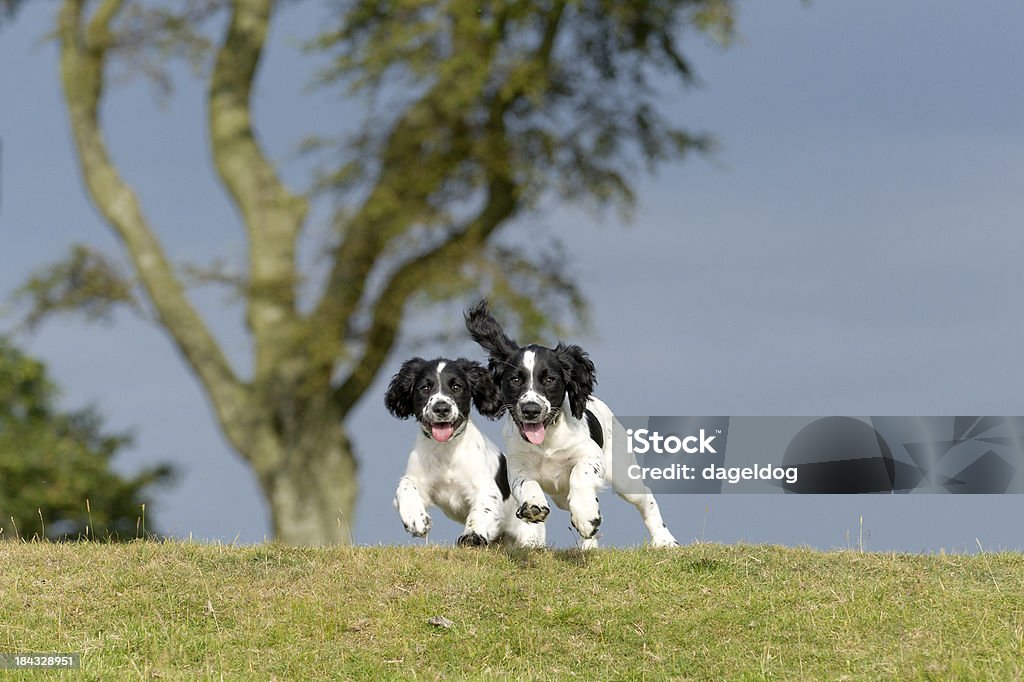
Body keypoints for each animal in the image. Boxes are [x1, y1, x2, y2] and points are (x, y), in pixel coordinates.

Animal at [385, 356, 544, 548]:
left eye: (456, 387)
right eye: (425, 388)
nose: (441, 408)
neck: (446, 449)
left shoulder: (485, 486)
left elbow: (483, 508)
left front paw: (472, 536)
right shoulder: (417, 479)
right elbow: (405, 486)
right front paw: (415, 519)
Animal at [466, 301, 679, 548]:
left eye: (550, 379)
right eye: (515, 379)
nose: (531, 410)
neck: (547, 440)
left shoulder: (590, 455)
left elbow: (581, 475)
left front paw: (586, 516)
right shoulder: (517, 465)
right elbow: (525, 484)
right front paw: (534, 506)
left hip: (624, 475)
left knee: (645, 496)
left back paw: (664, 540)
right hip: (561, 496)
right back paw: (589, 545)